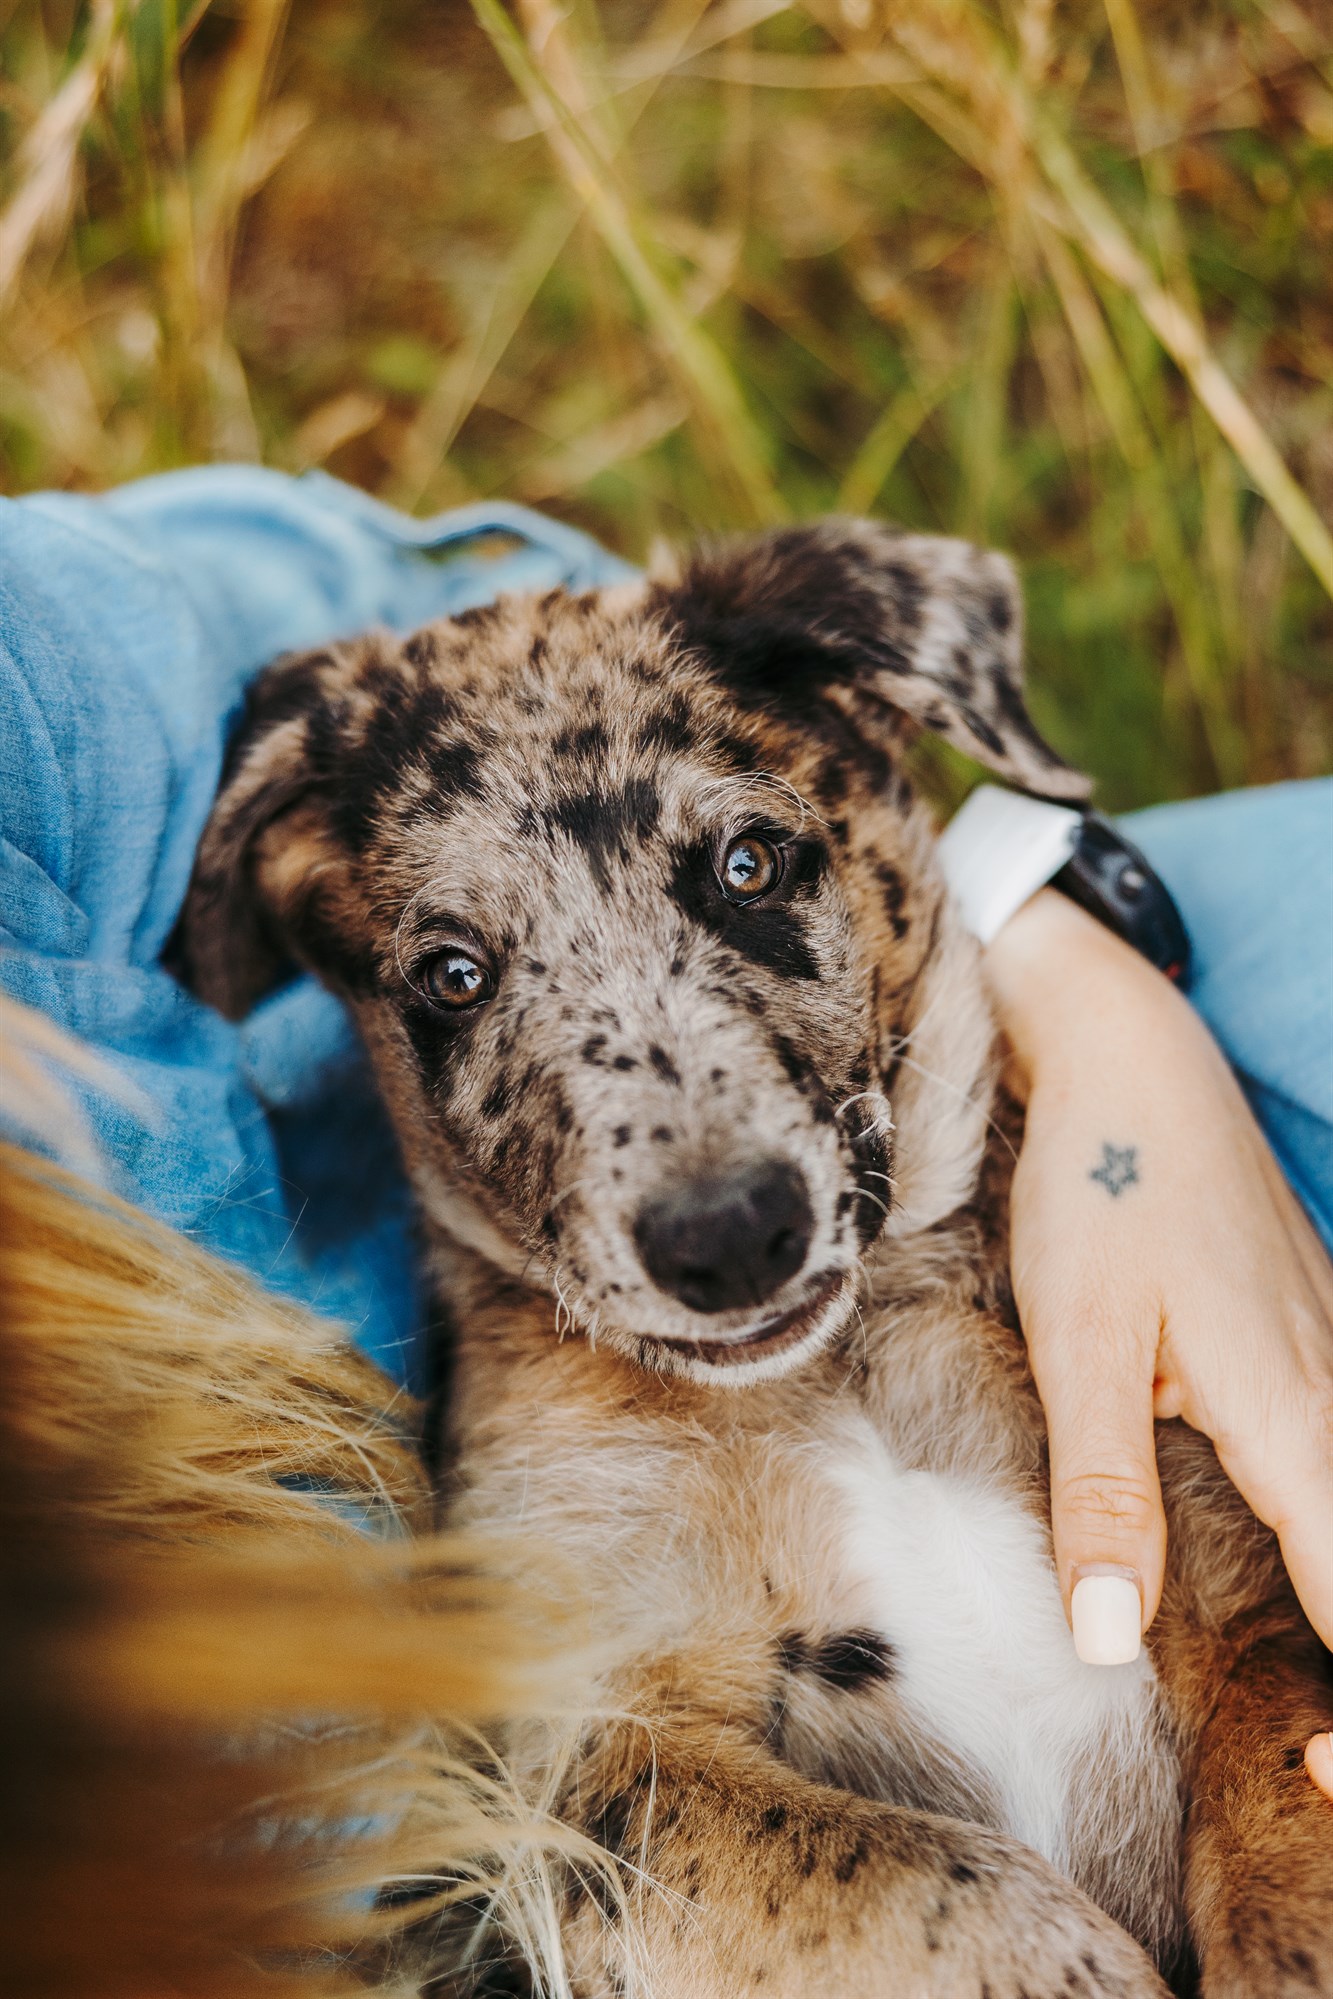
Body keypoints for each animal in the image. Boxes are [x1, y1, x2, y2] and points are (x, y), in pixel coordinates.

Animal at [179, 523, 1333, 1991]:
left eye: (747, 865)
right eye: (451, 974)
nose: (726, 1235)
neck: (847, 1370)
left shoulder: (1250, 1601)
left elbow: (1283, 1835)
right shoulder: (575, 1750)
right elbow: (941, 1879)